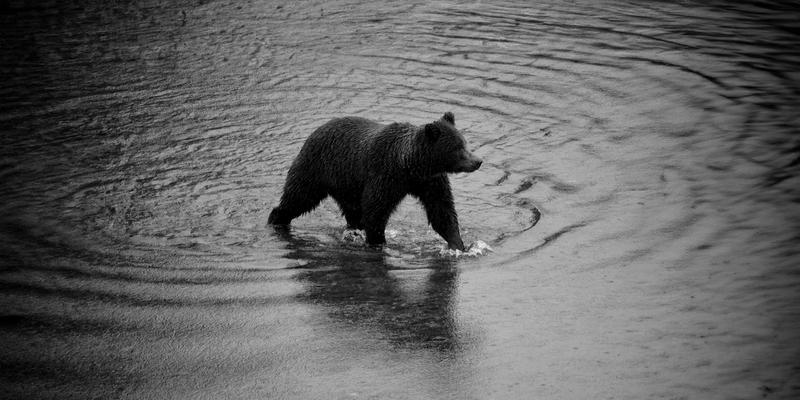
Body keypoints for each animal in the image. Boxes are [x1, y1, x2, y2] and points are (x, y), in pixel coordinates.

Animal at [267, 112, 482, 251]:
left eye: (464, 142)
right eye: (457, 148)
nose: (478, 161)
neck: (410, 165)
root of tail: (316, 131)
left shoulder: (429, 181)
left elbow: (441, 210)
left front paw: (459, 245)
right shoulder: (385, 174)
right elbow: (375, 210)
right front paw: (379, 242)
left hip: (347, 183)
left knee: (352, 211)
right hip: (318, 168)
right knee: (299, 197)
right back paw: (276, 219)